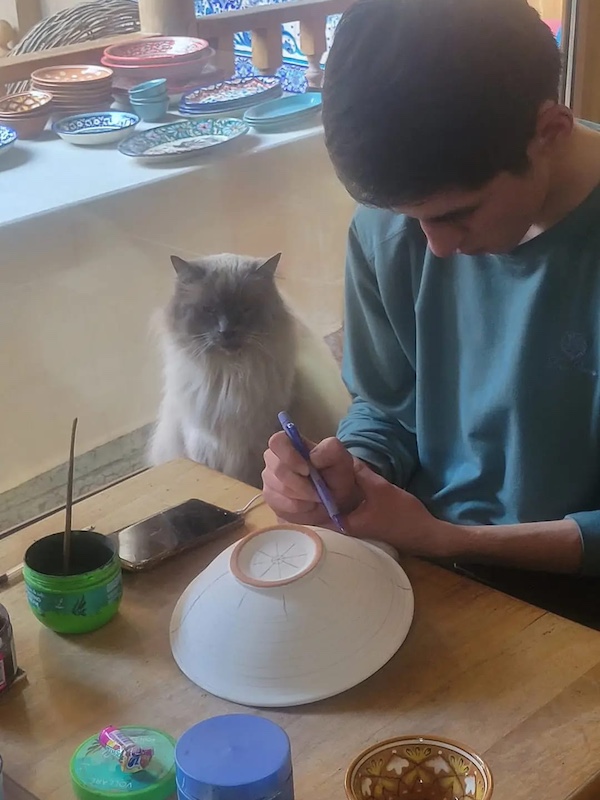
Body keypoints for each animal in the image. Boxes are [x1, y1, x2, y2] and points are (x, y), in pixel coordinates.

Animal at [147, 253, 350, 488]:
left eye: (244, 309)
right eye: (209, 309)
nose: (226, 331)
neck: (231, 375)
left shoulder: (255, 449)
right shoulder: (205, 445)